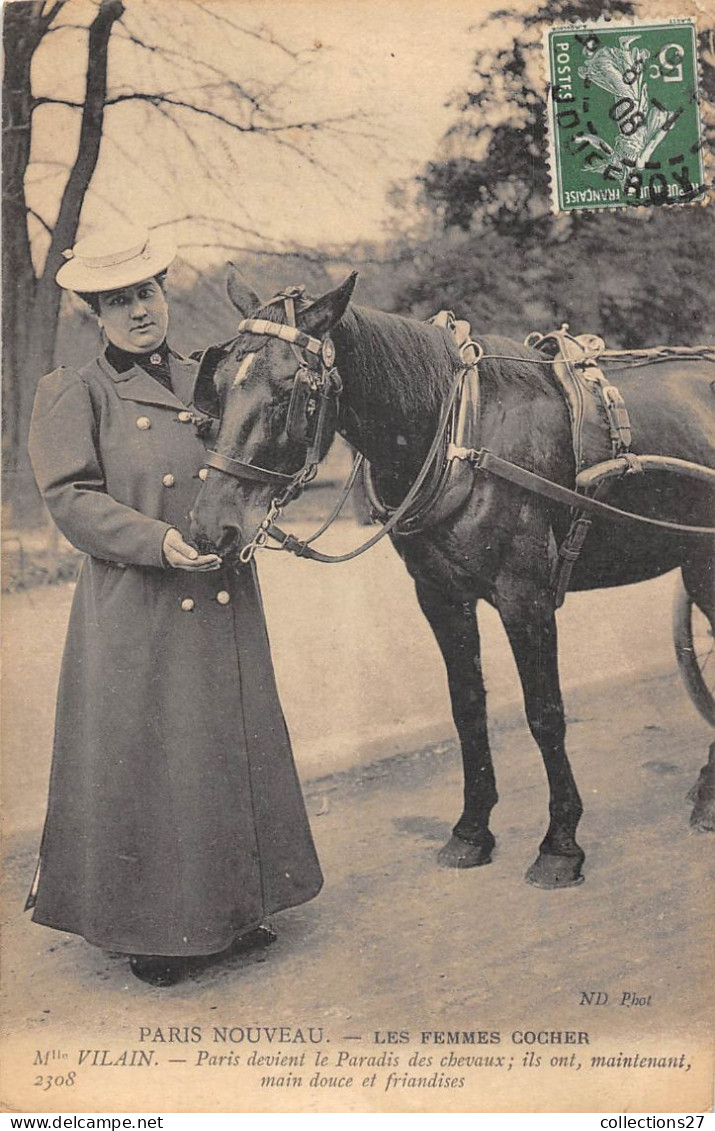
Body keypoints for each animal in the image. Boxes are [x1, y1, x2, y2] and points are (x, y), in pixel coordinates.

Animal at [190, 269, 714, 886]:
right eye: (218, 384)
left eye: (290, 392)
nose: (210, 527)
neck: (461, 435)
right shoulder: (440, 598)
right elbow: (467, 709)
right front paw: (471, 831)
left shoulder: (525, 599)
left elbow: (545, 715)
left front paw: (560, 844)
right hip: (697, 563)